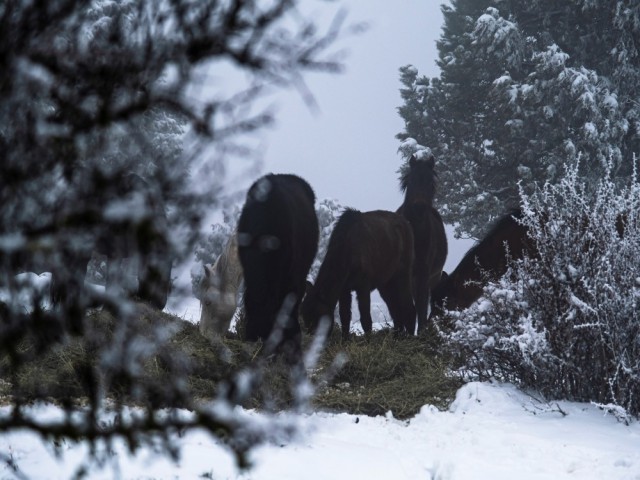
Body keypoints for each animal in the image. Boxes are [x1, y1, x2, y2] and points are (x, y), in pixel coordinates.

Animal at [300, 209, 416, 338]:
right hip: (385, 283)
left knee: (409, 308)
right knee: (395, 310)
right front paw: (345, 339)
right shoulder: (344, 289)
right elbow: (345, 317)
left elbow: (366, 319)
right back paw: (396, 337)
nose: (311, 338)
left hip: (403, 274)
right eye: (304, 316)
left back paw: (410, 338)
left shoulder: (363, 286)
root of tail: (407, 223)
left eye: (317, 317)